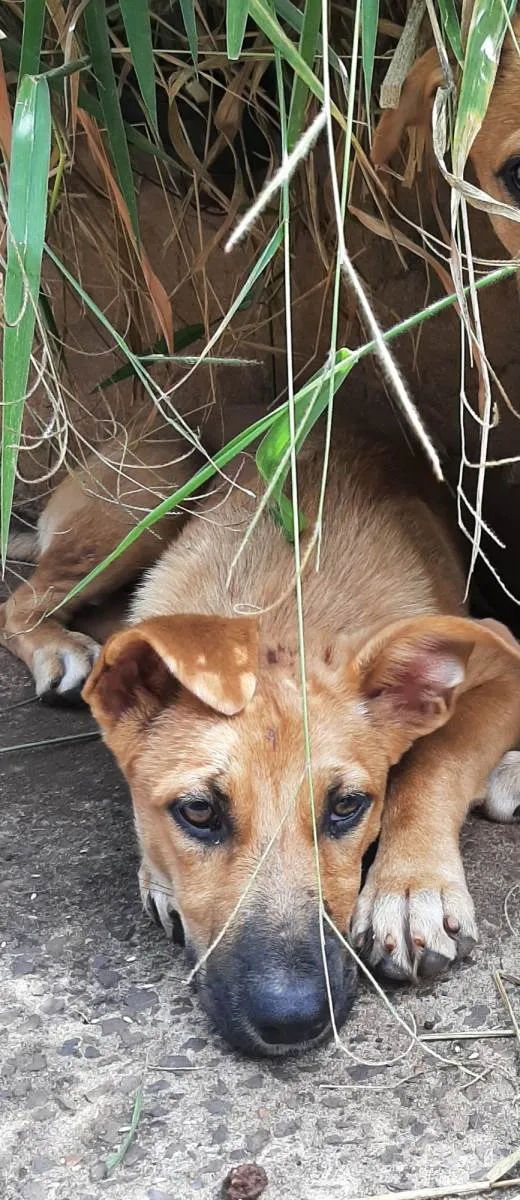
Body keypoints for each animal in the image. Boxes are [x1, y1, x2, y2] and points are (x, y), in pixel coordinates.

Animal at [1, 417, 518, 1056]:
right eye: (198, 811)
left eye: (348, 806)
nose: (293, 1023)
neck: (284, 604)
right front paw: (159, 876)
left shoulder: (503, 666)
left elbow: (435, 762)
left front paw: (410, 887)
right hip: (143, 501)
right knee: (19, 600)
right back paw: (57, 647)